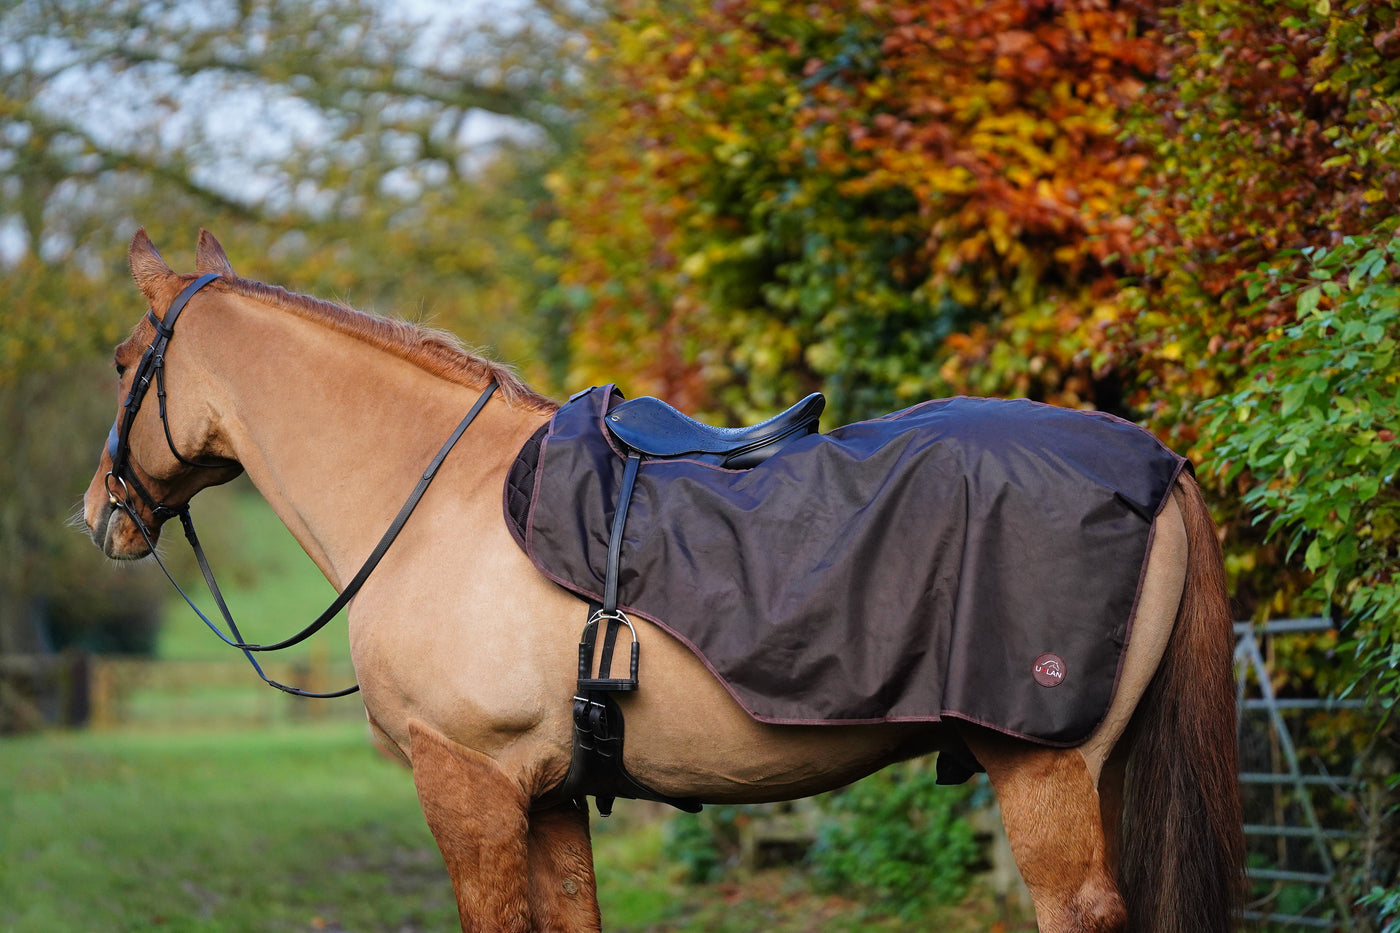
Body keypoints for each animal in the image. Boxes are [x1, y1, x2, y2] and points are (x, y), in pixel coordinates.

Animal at [82, 229, 1244, 933]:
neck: (439, 498)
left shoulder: (466, 785)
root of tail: (1157, 464)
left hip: (1047, 771)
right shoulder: (548, 798)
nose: (101, 514)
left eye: (123, 360)